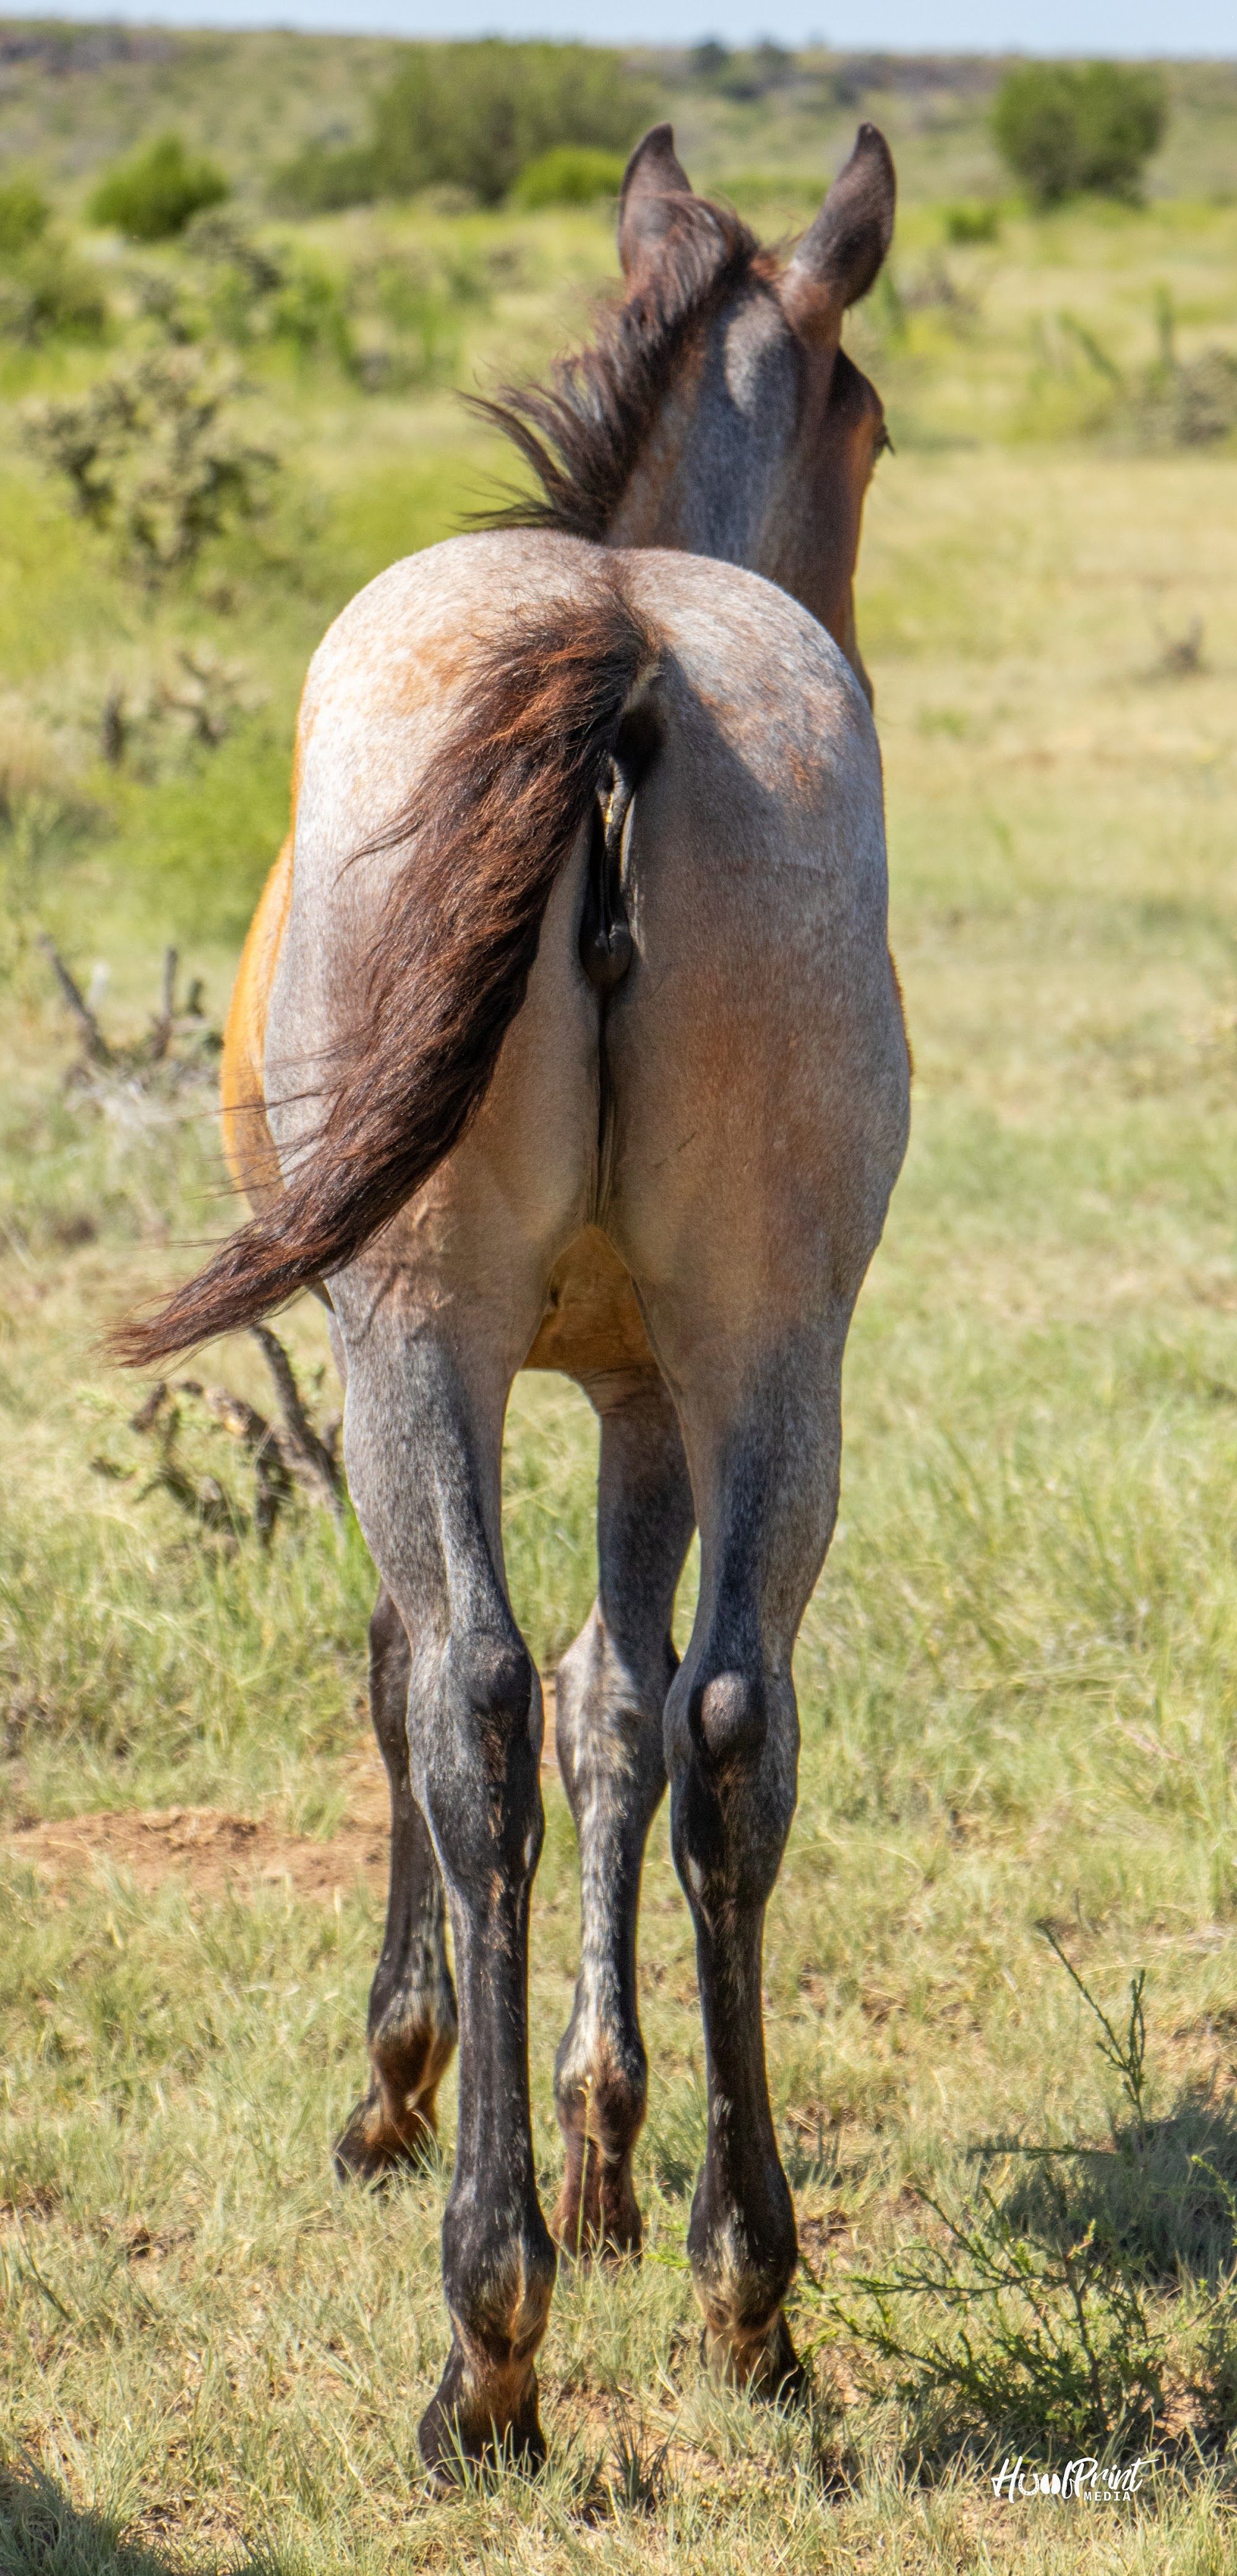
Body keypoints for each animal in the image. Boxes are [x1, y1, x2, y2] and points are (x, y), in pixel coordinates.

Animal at [115, 121, 911, 2480]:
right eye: (874, 423)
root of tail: (618, 637)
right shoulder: (650, 1389)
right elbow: (623, 1702)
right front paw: (608, 2141)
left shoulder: (415, 1354)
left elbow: (432, 1681)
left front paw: (410, 2083)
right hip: (774, 1352)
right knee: (733, 1719)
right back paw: (751, 2289)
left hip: (416, 1342)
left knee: (464, 1698)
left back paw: (487, 2340)